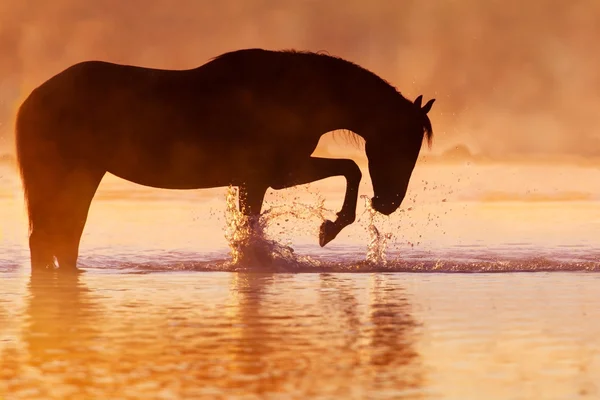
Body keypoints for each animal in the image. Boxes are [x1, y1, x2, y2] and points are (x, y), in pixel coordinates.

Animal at [15, 47, 436, 272]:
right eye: (402, 142)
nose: (388, 203)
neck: (294, 94)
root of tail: (33, 99)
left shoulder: (267, 176)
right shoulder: (270, 175)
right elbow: (351, 168)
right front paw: (328, 229)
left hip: (81, 177)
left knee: (60, 239)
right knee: (52, 238)